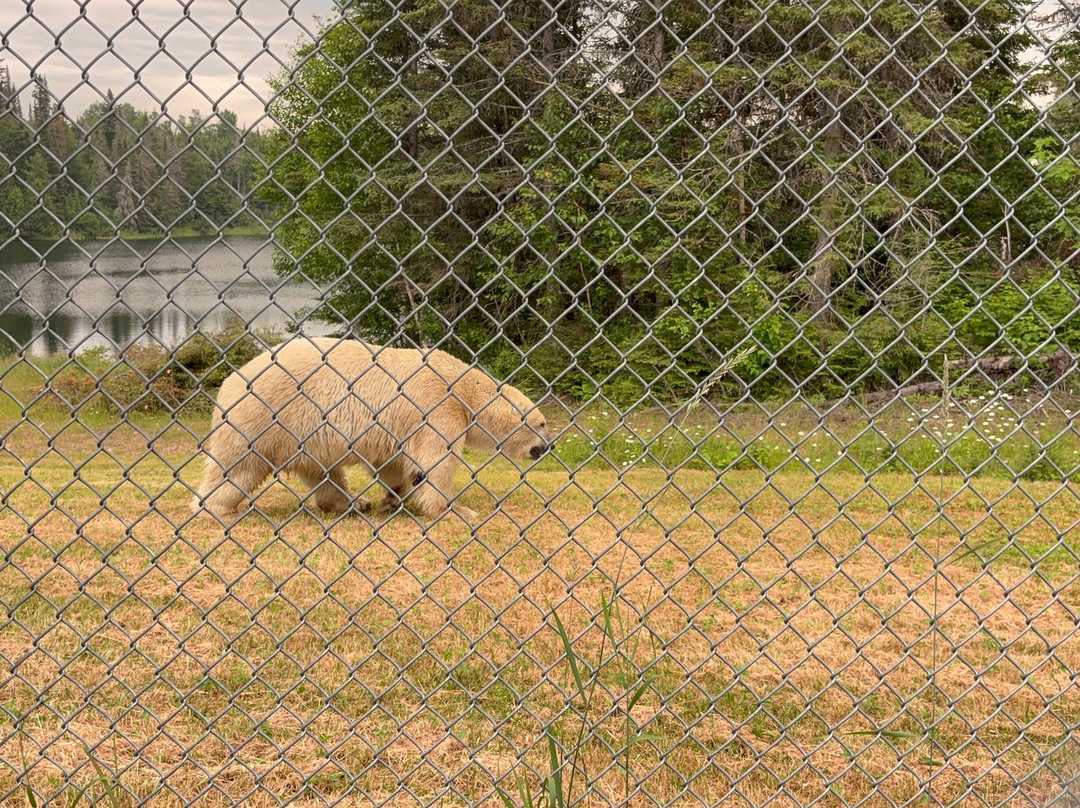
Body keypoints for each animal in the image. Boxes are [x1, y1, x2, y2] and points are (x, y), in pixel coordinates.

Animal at [191, 337, 551, 522]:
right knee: (237, 467)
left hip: (302, 431)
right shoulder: (435, 409)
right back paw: (217, 509)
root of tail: (230, 382)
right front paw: (457, 510)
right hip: (264, 417)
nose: (548, 446)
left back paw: (352, 504)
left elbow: (394, 463)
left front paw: (394, 497)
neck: (461, 386)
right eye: (542, 423)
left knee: (321, 471)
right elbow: (435, 463)